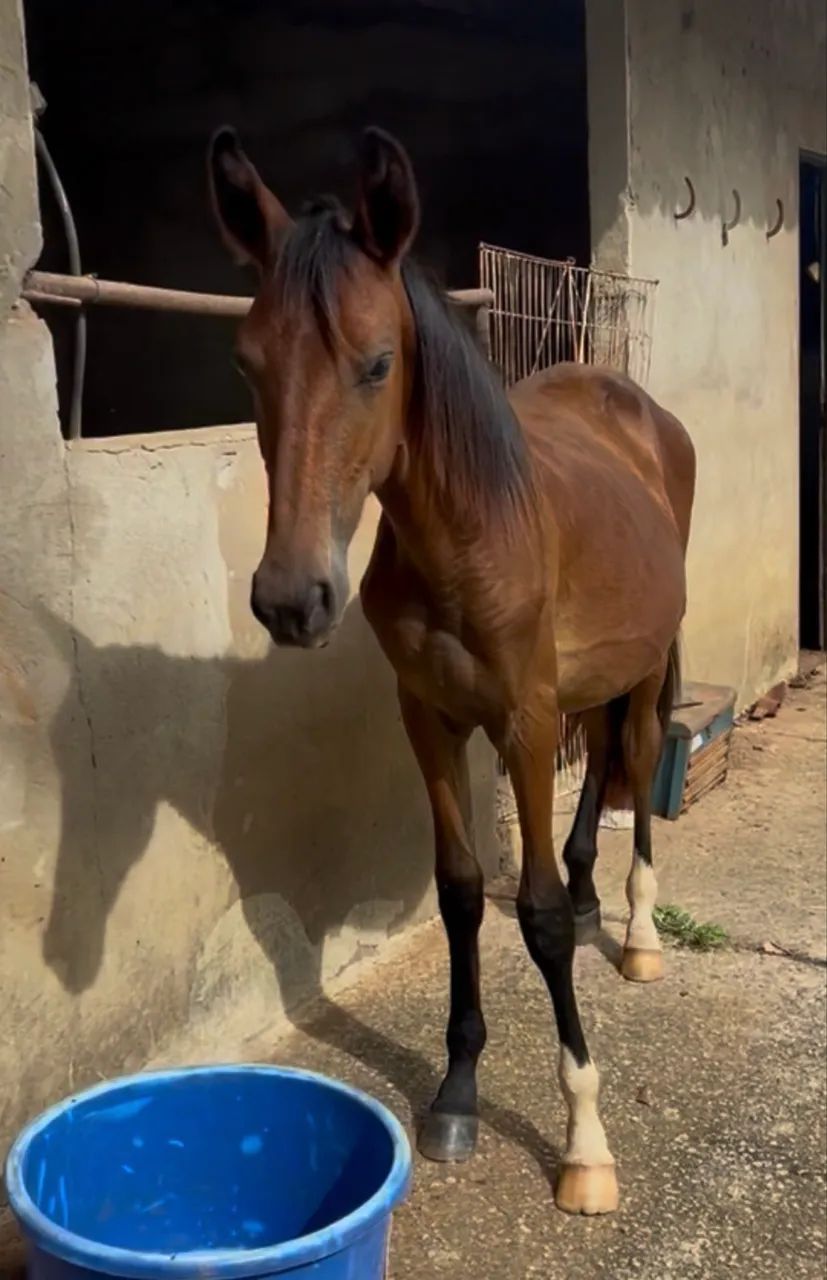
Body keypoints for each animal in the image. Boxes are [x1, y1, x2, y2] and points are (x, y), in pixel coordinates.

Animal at [207, 125, 695, 1216]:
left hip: (645, 666)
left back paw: (638, 933)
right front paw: (456, 1092)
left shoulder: (521, 719)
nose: (290, 598)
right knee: (604, 750)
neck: (467, 536)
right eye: (248, 364)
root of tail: (641, 410)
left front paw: (584, 1140)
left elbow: (539, 917)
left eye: (377, 362)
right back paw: (601, 899)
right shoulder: (427, 718)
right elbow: (465, 891)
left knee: (641, 754)